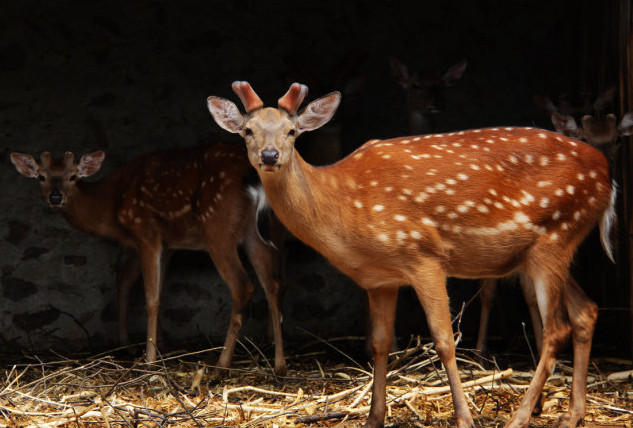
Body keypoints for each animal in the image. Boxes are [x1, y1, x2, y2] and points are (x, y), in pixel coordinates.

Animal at [9, 145, 286, 376]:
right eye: (41, 177)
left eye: (73, 176)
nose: (55, 197)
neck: (112, 206)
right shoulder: (169, 244)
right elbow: (144, 286)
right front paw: (151, 344)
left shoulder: (145, 232)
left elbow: (150, 298)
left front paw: (150, 359)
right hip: (255, 232)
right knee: (272, 284)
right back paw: (279, 364)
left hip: (218, 228)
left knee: (243, 287)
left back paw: (221, 365)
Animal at [209, 82, 616, 426]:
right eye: (247, 131)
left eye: (293, 131)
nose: (270, 155)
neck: (345, 205)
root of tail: (608, 177)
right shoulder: (380, 279)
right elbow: (379, 344)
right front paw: (374, 418)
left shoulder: (423, 255)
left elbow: (444, 340)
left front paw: (464, 419)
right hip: (552, 247)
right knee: (586, 311)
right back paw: (573, 414)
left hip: (556, 235)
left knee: (556, 329)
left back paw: (519, 418)